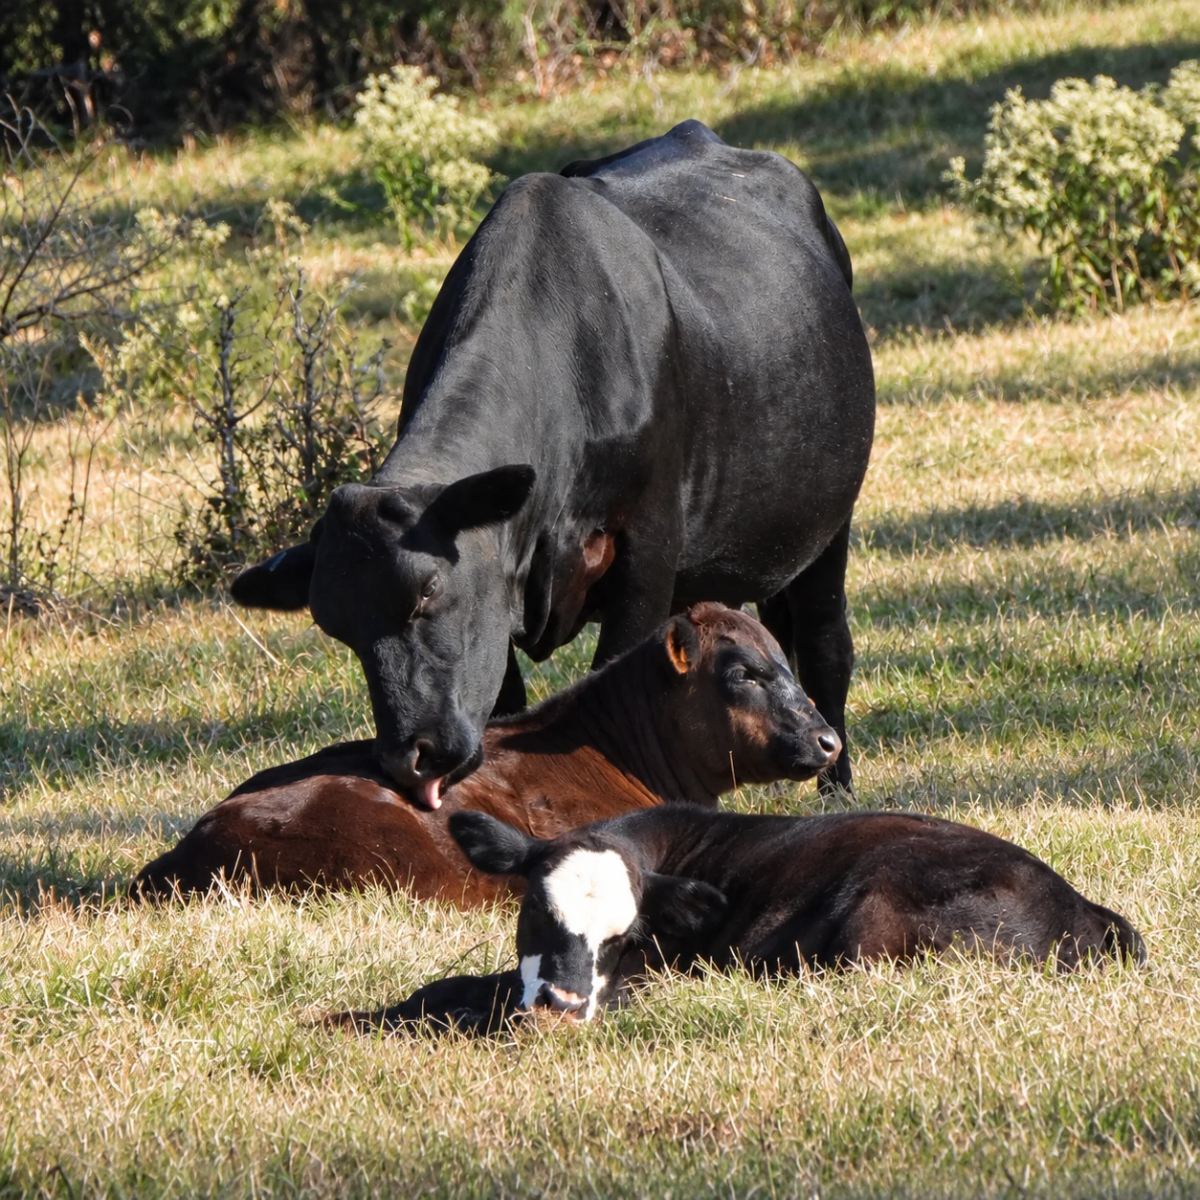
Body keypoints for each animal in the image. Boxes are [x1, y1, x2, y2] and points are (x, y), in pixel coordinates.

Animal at [228, 119, 876, 805]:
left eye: (429, 589)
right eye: (336, 626)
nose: (411, 757)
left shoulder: (648, 549)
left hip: (830, 520)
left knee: (824, 643)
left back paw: (838, 790)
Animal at [355, 803, 1146, 1029]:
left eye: (626, 938)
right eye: (534, 911)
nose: (563, 1005)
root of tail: (1085, 911)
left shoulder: (648, 976)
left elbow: (474, 993)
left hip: (874, 912)